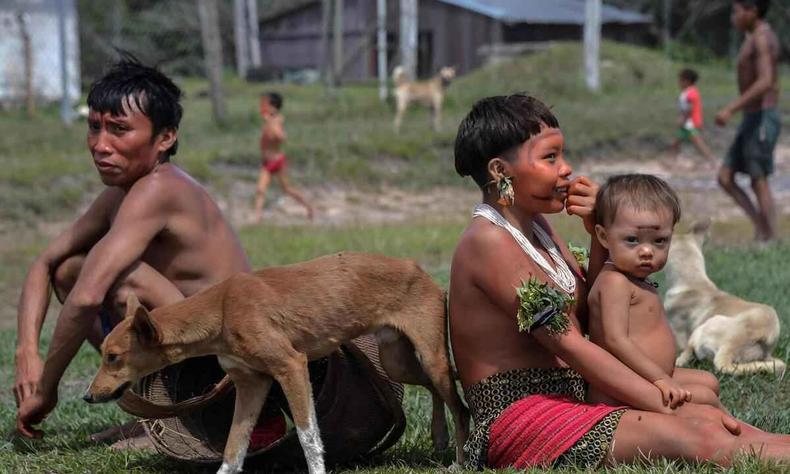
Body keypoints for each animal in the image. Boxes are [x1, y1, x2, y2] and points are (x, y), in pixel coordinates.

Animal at [85, 254, 470, 474]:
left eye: (113, 356)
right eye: (103, 353)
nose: (88, 397)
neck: (222, 308)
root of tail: (421, 271)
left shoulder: (291, 367)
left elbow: (308, 436)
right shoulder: (251, 384)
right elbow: (233, 448)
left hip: (429, 356)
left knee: (459, 403)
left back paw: (460, 460)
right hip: (397, 362)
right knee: (437, 391)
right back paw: (439, 435)